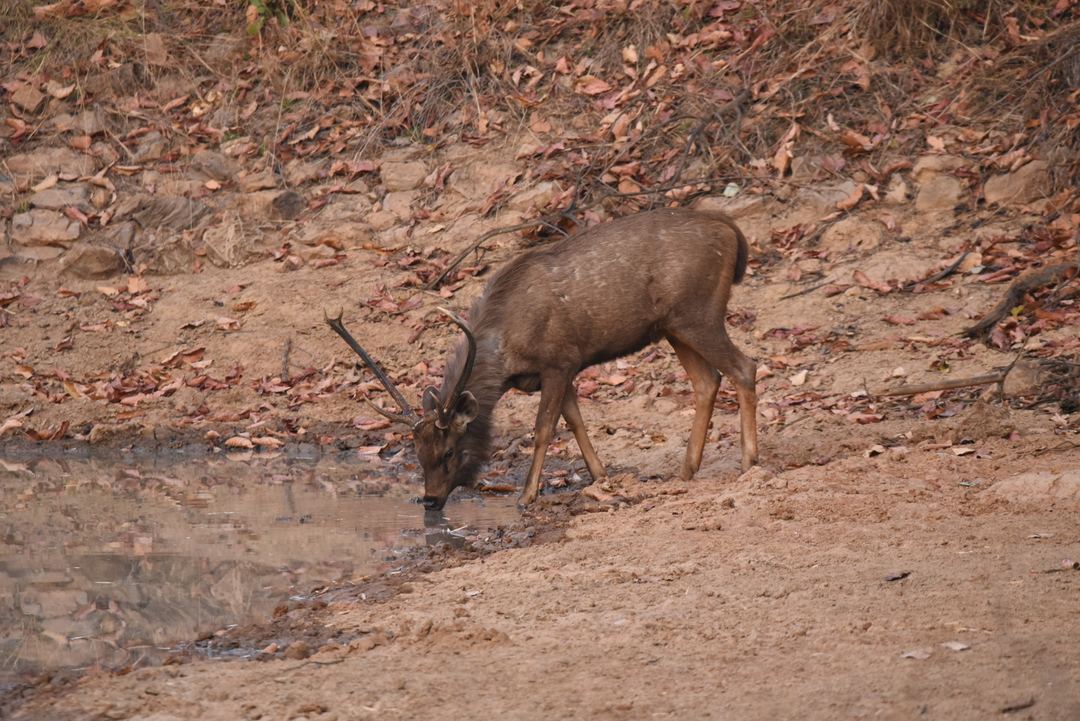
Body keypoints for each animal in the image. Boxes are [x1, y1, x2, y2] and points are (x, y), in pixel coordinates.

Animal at [325, 207, 758, 511]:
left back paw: (749, 460)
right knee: (707, 380)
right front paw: (600, 476)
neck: (506, 351)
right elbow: (576, 422)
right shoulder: (559, 372)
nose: (430, 500)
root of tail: (732, 231)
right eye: (417, 452)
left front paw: (527, 494)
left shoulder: (559, 360)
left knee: (744, 367)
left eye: (448, 451)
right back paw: (686, 469)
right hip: (673, 326)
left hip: (698, 313)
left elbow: (544, 429)